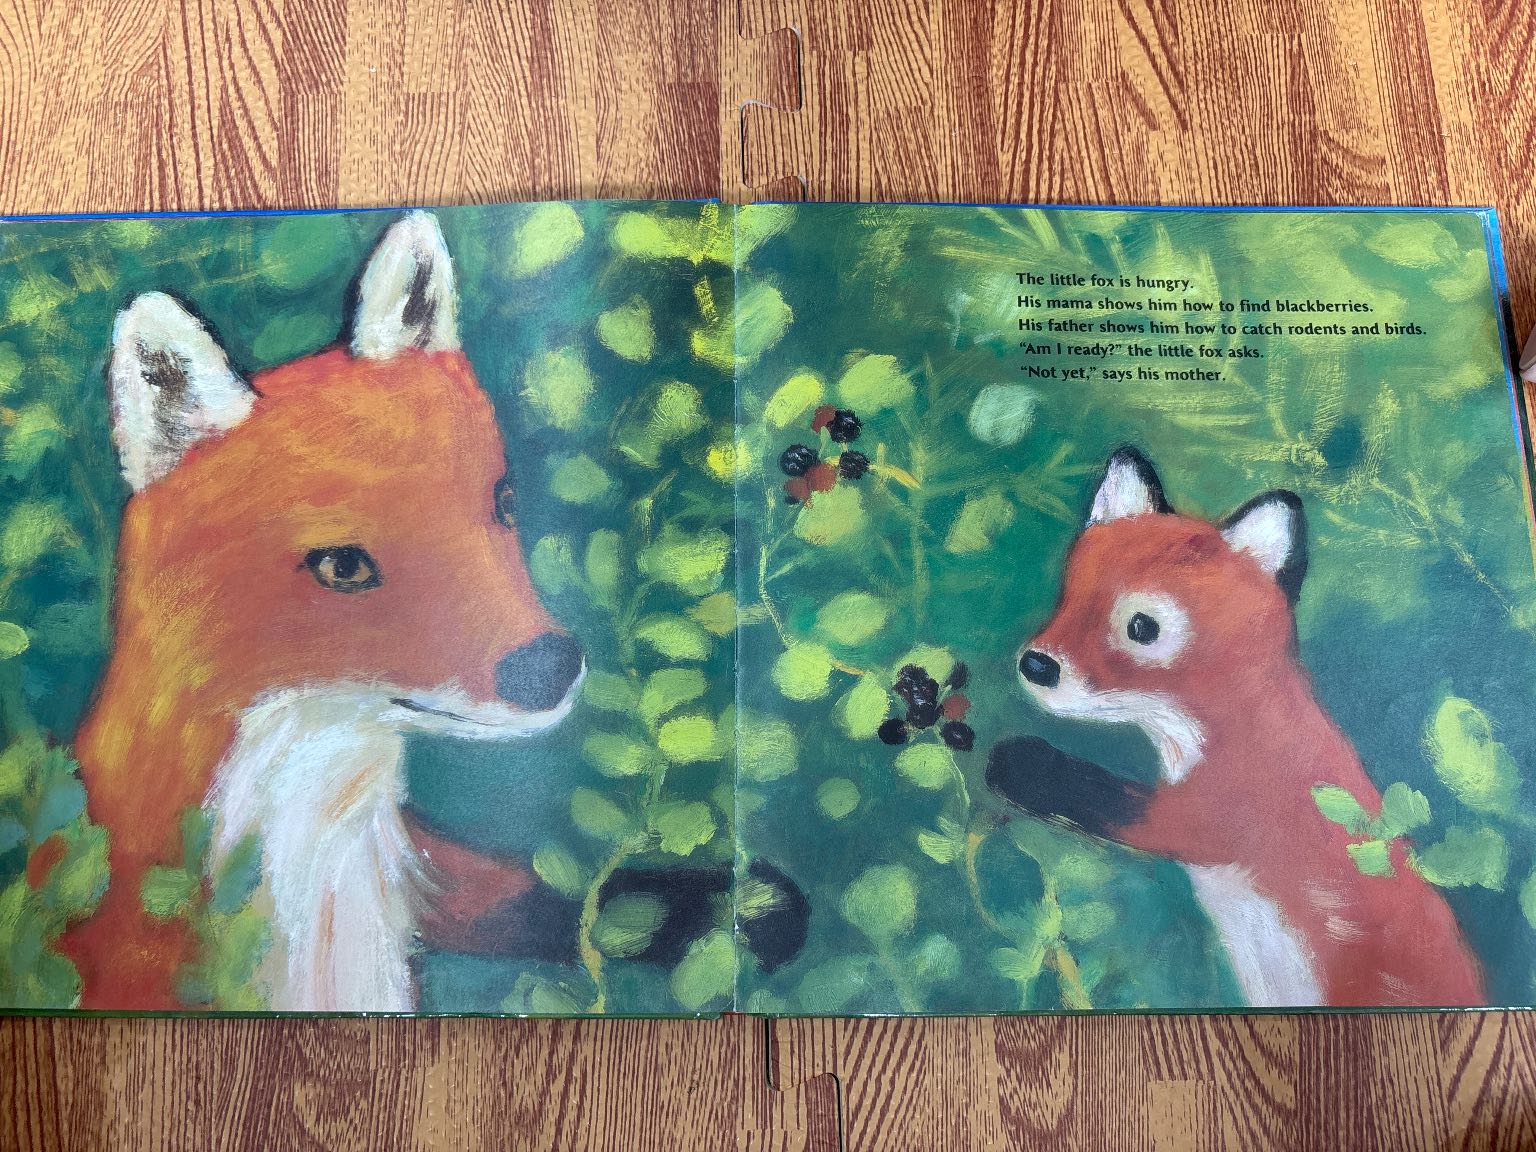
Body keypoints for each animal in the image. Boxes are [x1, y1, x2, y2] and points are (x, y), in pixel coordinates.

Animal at [987, 446, 1484, 1008]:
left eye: (1142, 627)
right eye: (1068, 594)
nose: (1037, 665)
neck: (1245, 735)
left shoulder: (1206, 817)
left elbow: (1100, 796)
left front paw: (1019, 764)